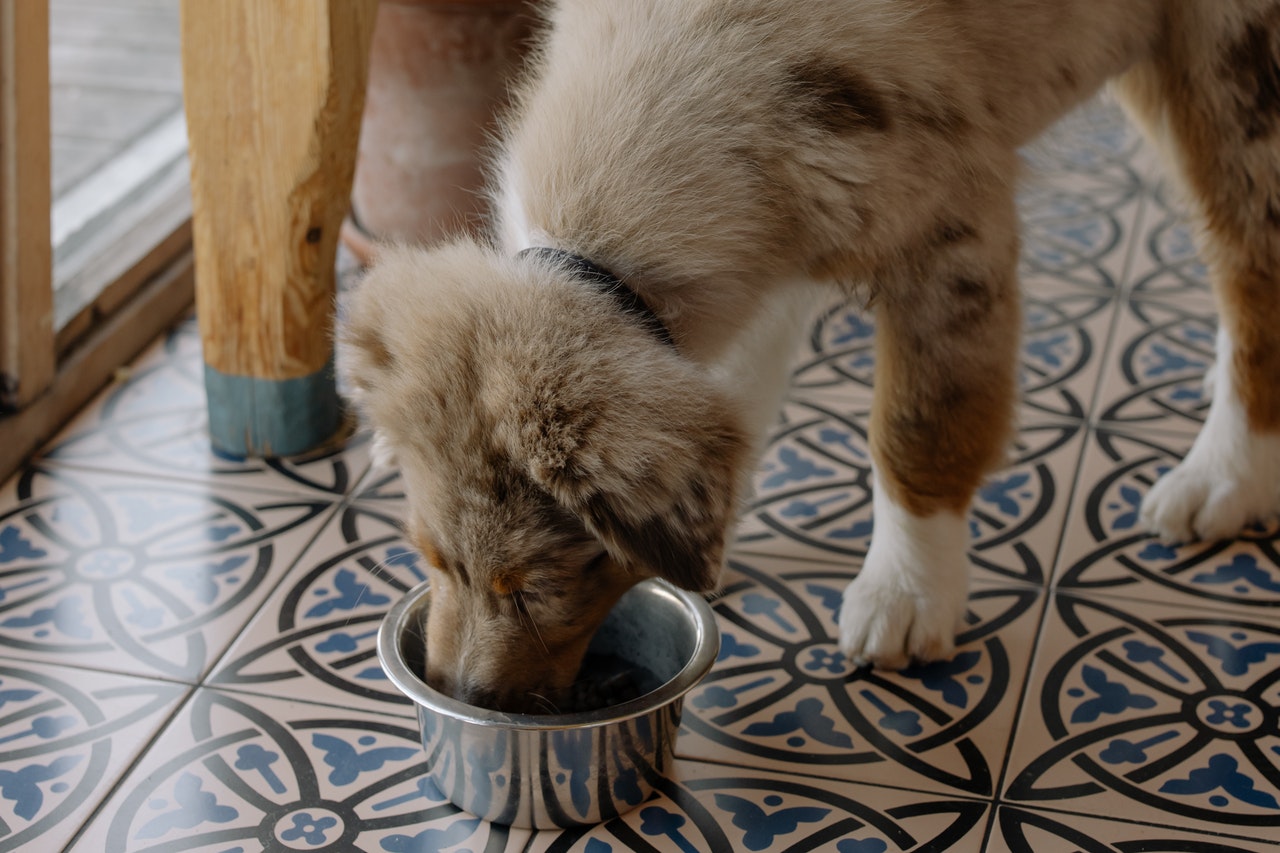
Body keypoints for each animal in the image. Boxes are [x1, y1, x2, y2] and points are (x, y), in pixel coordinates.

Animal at [340, 0, 1280, 712]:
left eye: (531, 587)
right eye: (431, 559)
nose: (461, 694)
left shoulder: (950, 233)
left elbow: (917, 427)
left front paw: (907, 594)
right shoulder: (775, 238)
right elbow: (736, 391)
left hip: (1231, 64)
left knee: (1250, 263)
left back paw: (1225, 474)